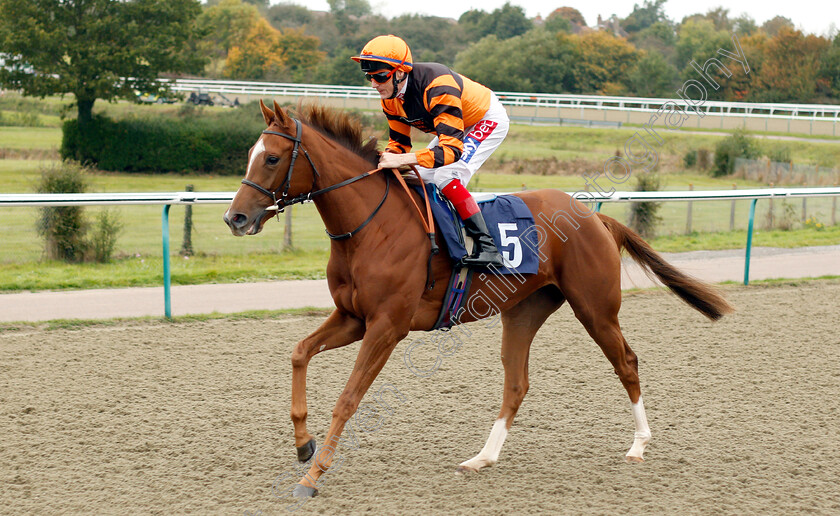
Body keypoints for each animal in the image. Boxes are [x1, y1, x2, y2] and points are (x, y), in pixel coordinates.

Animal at [223, 99, 728, 498]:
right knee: (517, 383)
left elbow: (348, 398)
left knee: (626, 362)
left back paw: (639, 445)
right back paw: (482, 458)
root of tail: (593, 216)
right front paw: (303, 444)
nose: (235, 218)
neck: (371, 226)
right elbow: (298, 353)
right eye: (250, 157)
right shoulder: (353, 317)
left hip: (595, 307)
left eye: (271, 158)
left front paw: (313, 477)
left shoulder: (387, 326)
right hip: (523, 312)